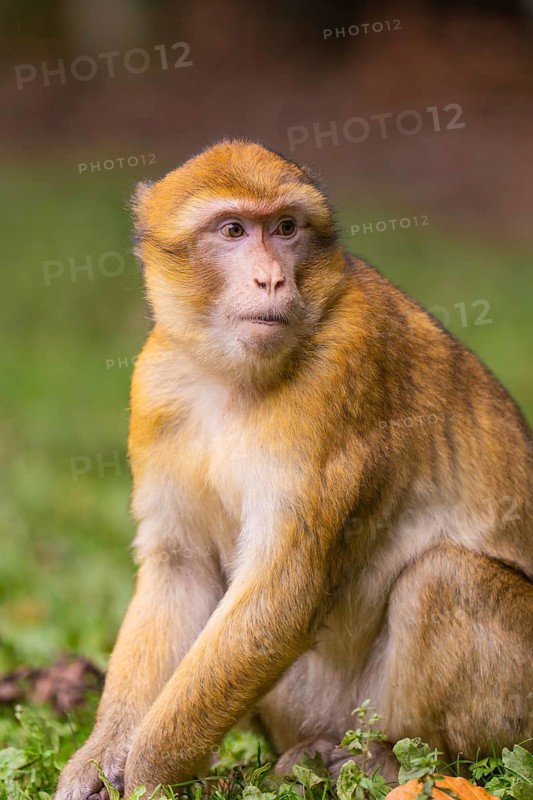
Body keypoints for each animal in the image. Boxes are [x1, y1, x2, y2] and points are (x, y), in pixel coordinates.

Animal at [55, 139, 532, 800]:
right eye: (233, 230)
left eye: (285, 228)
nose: (272, 278)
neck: (232, 377)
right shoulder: (156, 381)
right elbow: (180, 566)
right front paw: (99, 762)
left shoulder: (343, 369)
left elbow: (286, 590)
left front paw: (149, 774)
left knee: (445, 577)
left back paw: (398, 761)